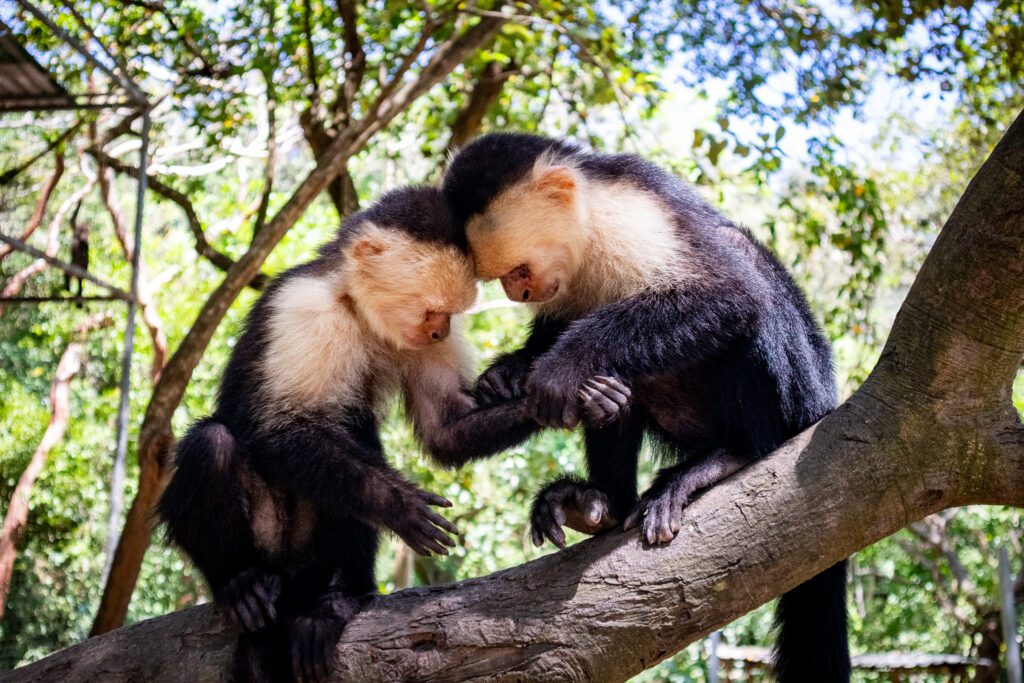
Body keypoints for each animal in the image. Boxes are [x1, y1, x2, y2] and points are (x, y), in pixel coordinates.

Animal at [158, 185, 627, 682]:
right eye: (430, 310)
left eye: (446, 315)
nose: (439, 331)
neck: (356, 309)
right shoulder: (303, 307)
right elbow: (278, 429)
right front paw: (398, 505)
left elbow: (445, 431)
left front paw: (574, 397)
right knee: (215, 445)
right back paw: (240, 585)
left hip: (309, 561)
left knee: (351, 441)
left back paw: (339, 599)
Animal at [442, 132, 849, 683]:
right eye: (505, 278)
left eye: (517, 270)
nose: (518, 292)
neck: (590, 233)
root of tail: (822, 403)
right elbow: (560, 330)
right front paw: (510, 372)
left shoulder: (634, 215)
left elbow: (727, 292)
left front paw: (565, 364)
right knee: (619, 391)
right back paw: (602, 501)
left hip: (798, 395)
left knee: (745, 273)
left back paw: (733, 456)